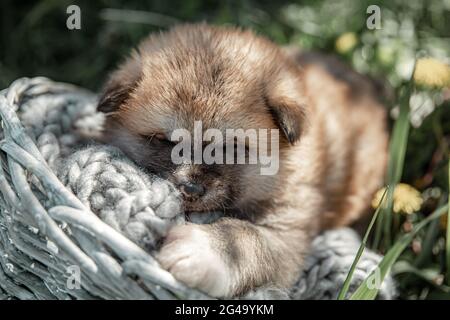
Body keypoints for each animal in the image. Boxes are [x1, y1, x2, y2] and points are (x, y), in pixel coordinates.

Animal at [96, 23, 388, 298]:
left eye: (230, 146)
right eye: (164, 140)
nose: (190, 189)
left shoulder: (286, 232)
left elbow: (244, 237)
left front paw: (202, 250)